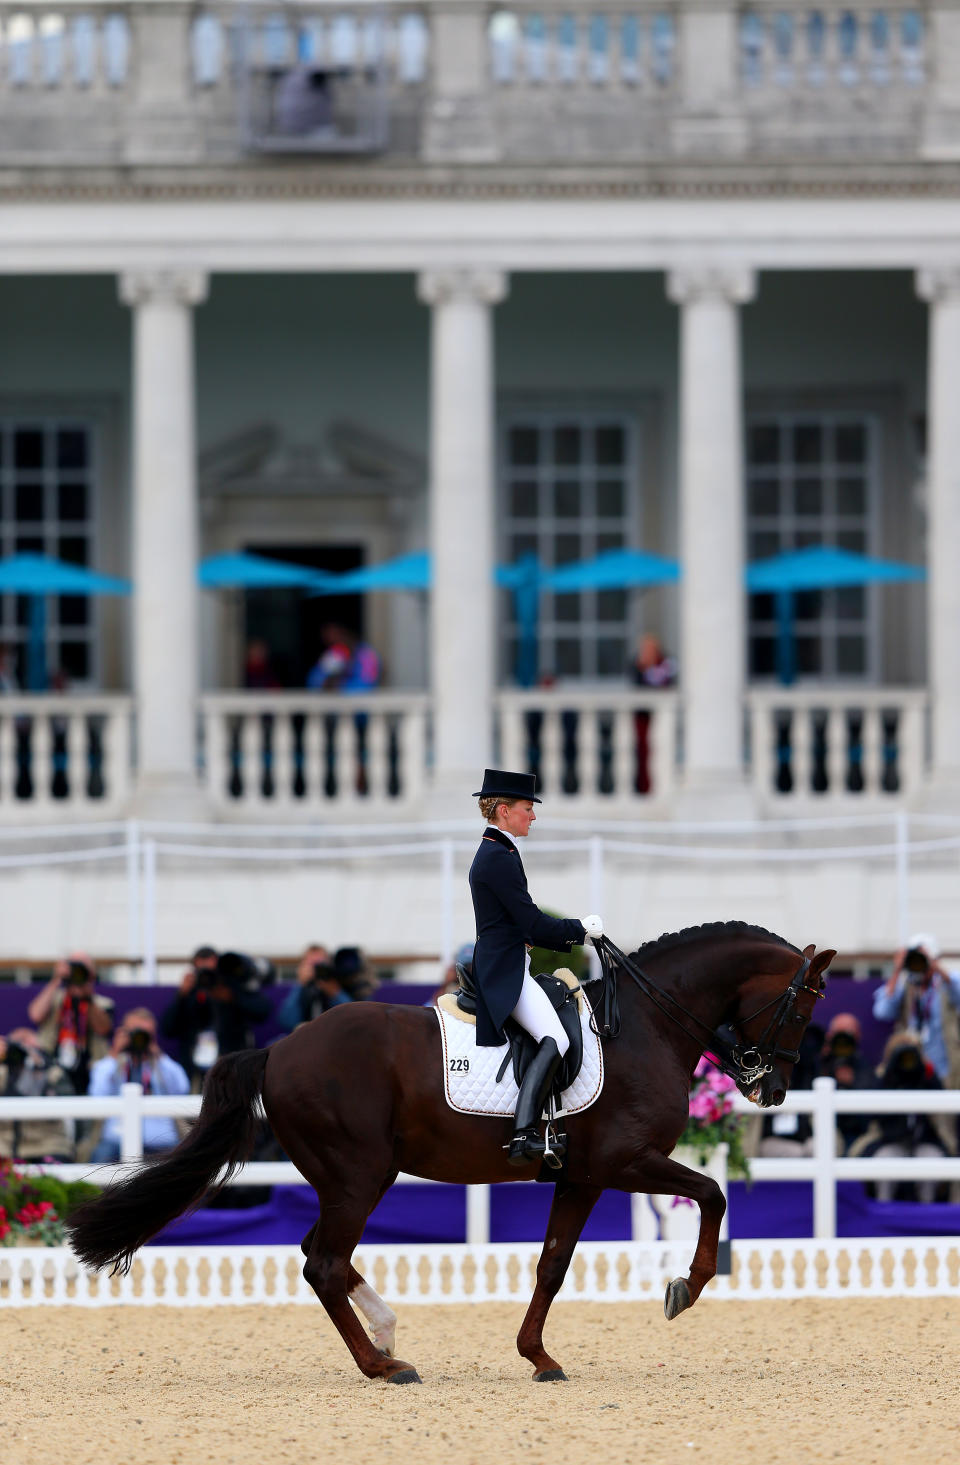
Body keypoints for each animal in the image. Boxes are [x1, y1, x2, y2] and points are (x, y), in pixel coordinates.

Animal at [67, 925, 832, 1382]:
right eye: (801, 1008)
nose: (771, 1088)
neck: (644, 1024)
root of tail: (278, 1048)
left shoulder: (582, 1175)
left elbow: (553, 1264)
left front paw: (538, 1356)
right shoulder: (625, 1161)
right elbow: (711, 1194)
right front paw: (684, 1289)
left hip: (356, 1175)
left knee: (322, 1254)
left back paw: (385, 1334)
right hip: (358, 1174)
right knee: (323, 1261)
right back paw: (382, 1365)